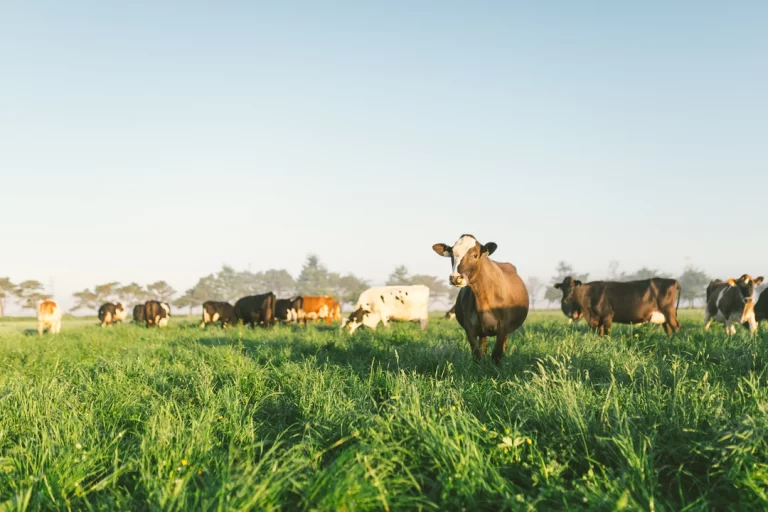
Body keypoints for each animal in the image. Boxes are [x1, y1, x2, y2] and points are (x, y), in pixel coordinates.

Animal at [432, 234, 528, 366]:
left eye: (475, 255)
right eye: (452, 255)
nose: (455, 278)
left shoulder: (503, 327)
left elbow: (497, 354)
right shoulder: (469, 327)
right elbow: (477, 353)